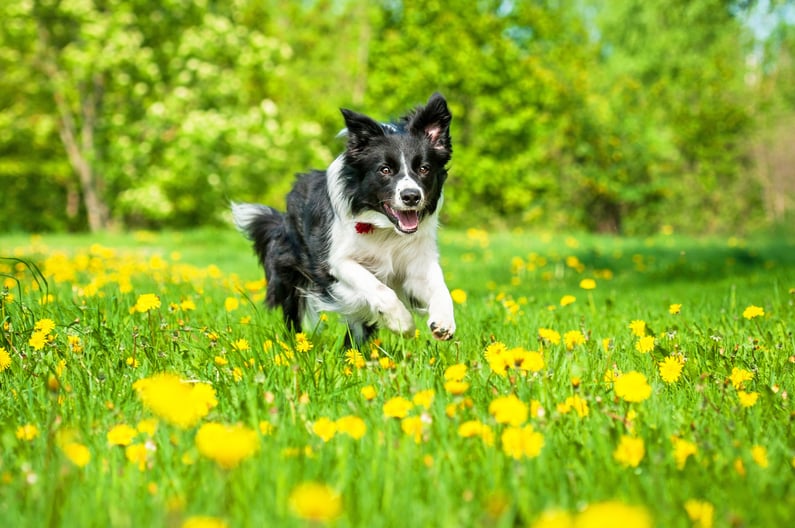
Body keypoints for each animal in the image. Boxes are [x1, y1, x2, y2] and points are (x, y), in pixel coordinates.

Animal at [232, 93, 454, 344]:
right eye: (385, 170)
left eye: (424, 168)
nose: (411, 196)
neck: (385, 229)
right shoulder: (335, 262)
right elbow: (377, 287)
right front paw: (402, 323)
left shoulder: (417, 261)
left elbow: (440, 287)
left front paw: (443, 321)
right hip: (291, 274)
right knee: (293, 314)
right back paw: (295, 344)